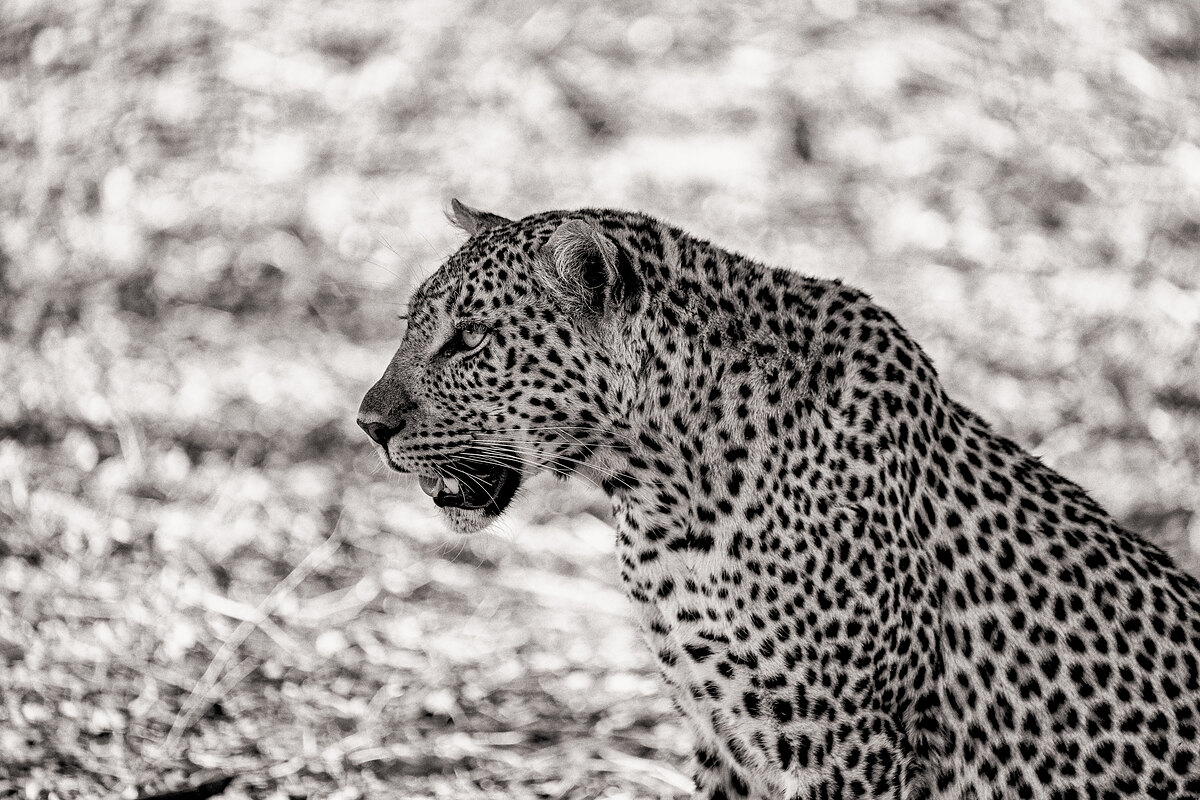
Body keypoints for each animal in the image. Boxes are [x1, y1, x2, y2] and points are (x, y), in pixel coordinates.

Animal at [357, 200, 1200, 799]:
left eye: (470, 339)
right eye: (411, 325)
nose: (369, 424)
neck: (662, 494)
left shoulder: (854, 744)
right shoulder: (720, 735)